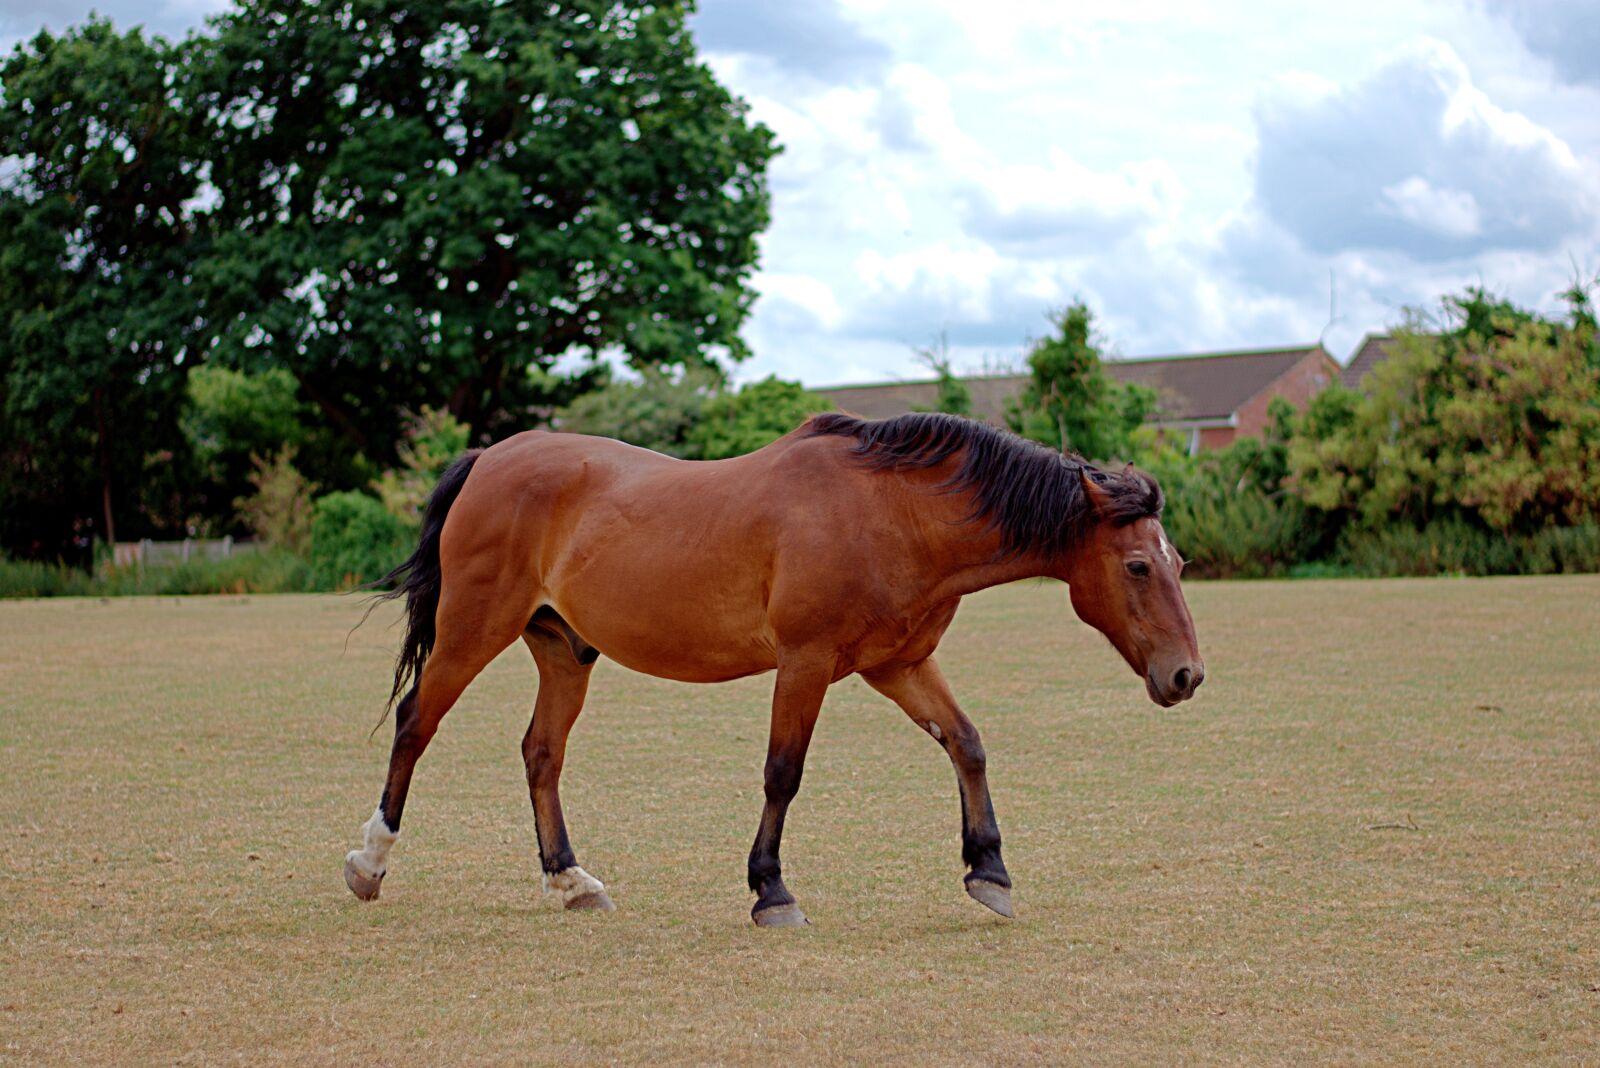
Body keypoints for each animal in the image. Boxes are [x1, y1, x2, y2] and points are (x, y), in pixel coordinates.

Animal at [343, 411, 1204, 926]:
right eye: (1136, 566)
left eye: (1179, 563)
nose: (1186, 676)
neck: (891, 513)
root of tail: (492, 456)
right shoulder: (806, 663)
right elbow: (782, 773)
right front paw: (770, 890)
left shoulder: (899, 666)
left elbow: (968, 745)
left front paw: (988, 870)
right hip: (471, 631)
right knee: (416, 725)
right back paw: (369, 863)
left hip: (564, 651)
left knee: (541, 754)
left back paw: (571, 880)